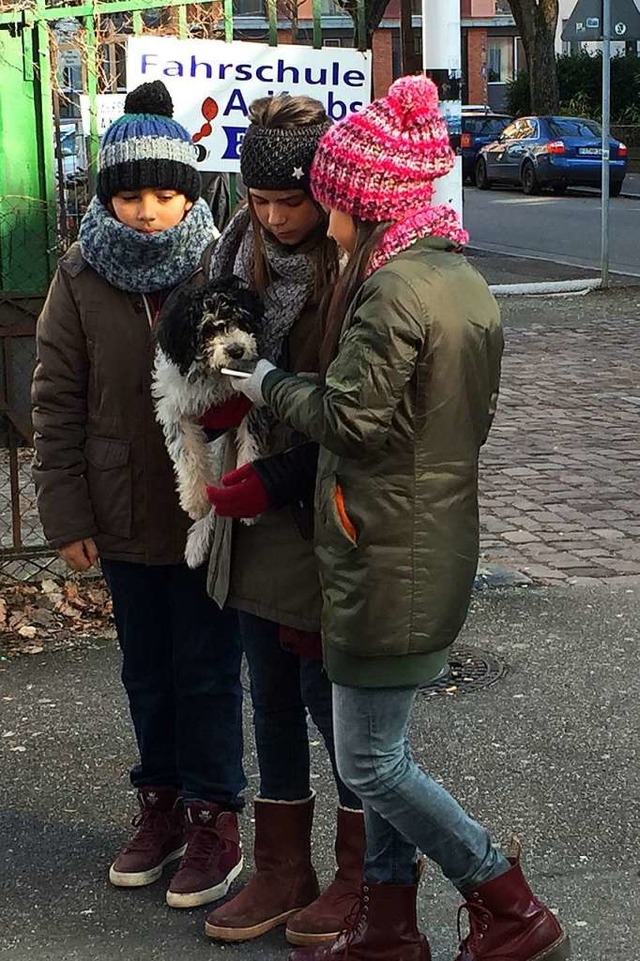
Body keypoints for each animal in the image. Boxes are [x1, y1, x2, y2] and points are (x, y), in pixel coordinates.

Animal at [154, 274, 262, 568]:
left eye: (239, 320)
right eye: (207, 330)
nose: (236, 350)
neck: (214, 377)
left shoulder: (248, 403)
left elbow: (250, 446)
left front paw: (249, 492)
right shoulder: (175, 409)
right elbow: (188, 455)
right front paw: (195, 501)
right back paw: (196, 543)